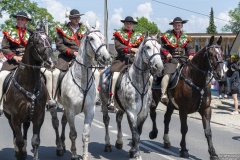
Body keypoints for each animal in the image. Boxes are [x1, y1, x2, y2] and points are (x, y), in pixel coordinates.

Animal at [2, 28, 55, 160]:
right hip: (9, 117)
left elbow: (35, 141)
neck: (29, 85)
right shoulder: (15, 117)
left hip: (26, 117)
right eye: (37, 42)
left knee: (25, 130)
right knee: (15, 135)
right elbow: (19, 140)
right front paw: (20, 154)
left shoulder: (38, 116)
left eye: (50, 39)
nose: (51, 62)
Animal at [50, 20, 111, 160]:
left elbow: (85, 135)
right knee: (56, 123)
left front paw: (85, 155)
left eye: (103, 37)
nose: (106, 58)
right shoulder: (71, 111)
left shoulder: (89, 110)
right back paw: (59, 148)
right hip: (54, 105)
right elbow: (73, 134)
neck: (81, 79)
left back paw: (63, 144)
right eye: (91, 38)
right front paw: (73, 154)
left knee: (63, 121)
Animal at [98, 31, 164, 160]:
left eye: (159, 47)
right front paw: (137, 154)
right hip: (104, 103)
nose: (159, 66)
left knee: (118, 118)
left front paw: (133, 150)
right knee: (106, 120)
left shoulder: (143, 113)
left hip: (120, 106)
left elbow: (138, 132)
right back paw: (108, 145)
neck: (139, 84)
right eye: (147, 47)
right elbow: (135, 134)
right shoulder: (131, 112)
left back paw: (119, 142)